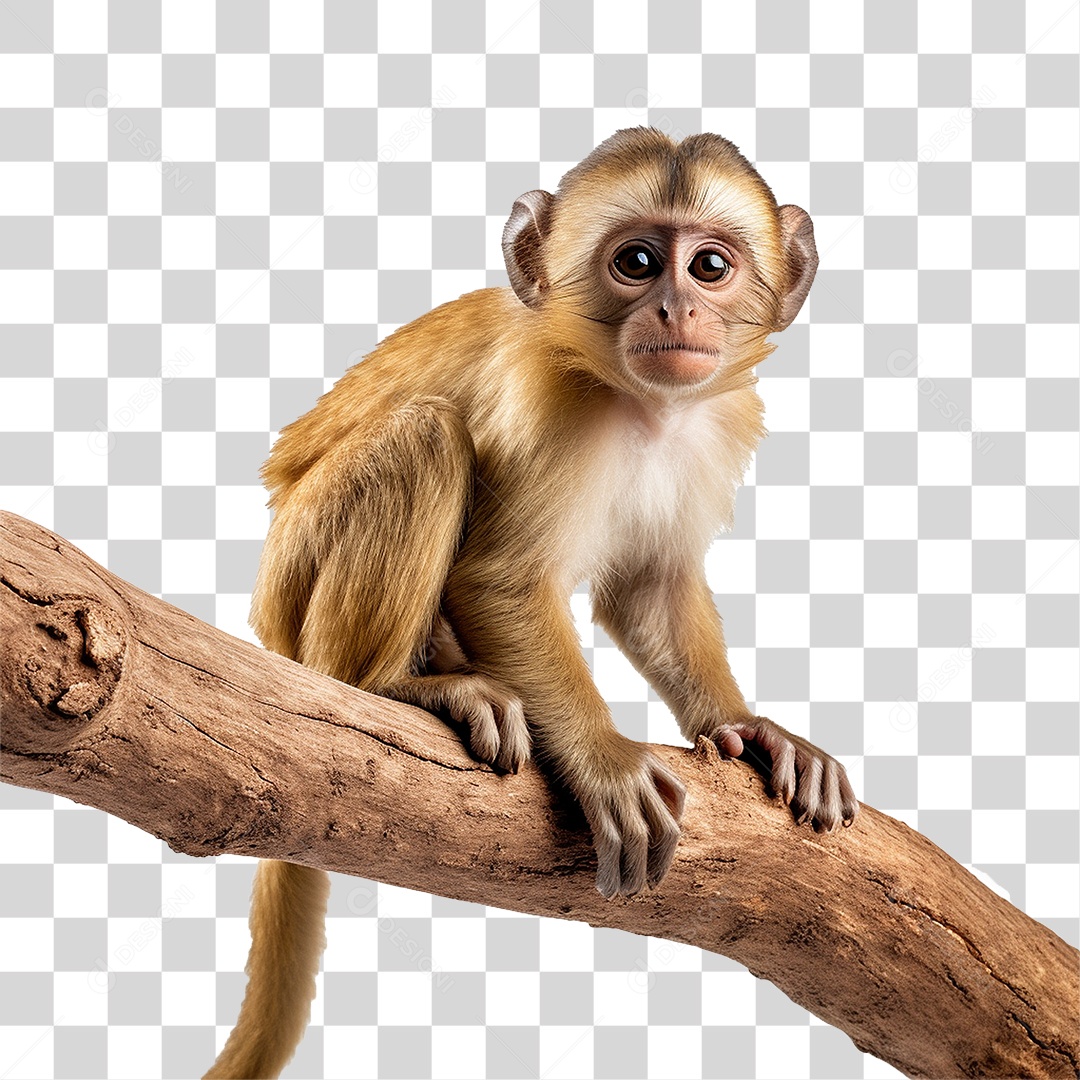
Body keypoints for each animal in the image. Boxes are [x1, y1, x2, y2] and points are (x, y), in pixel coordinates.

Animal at [204, 127, 859, 1079]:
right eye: (636, 262)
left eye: (709, 266)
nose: (676, 311)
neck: (637, 406)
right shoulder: (552, 406)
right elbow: (499, 581)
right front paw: (603, 759)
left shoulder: (715, 419)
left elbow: (648, 588)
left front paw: (747, 727)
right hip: (293, 581)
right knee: (428, 432)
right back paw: (396, 684)